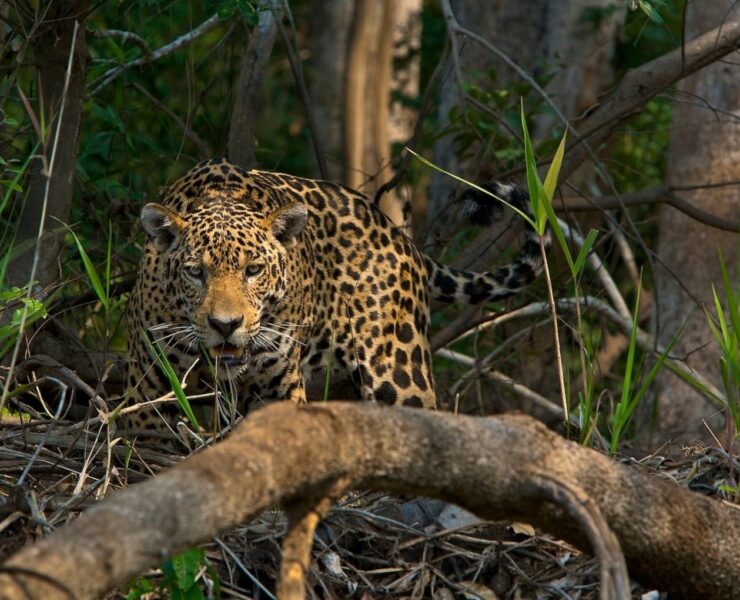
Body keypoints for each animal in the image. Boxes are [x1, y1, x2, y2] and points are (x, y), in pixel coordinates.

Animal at [124, 157, 550, 437]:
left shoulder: (277, 389)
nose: (225, 325)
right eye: (196, 272)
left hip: (400, 374)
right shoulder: (147, 395)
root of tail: (396, 233)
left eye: (254, 270)